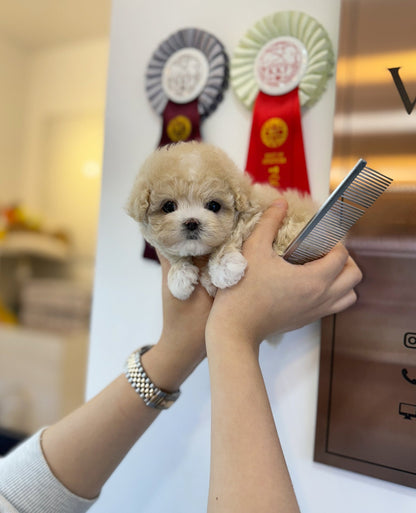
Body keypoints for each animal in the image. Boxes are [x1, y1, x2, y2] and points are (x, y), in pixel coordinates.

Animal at [127, 141, 316, 300]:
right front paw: (179, 277)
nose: (191, 222)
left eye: (213, 206)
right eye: (168, 206)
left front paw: (223, 269)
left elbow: (232, 236)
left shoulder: (255, 215)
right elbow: (173, 254)